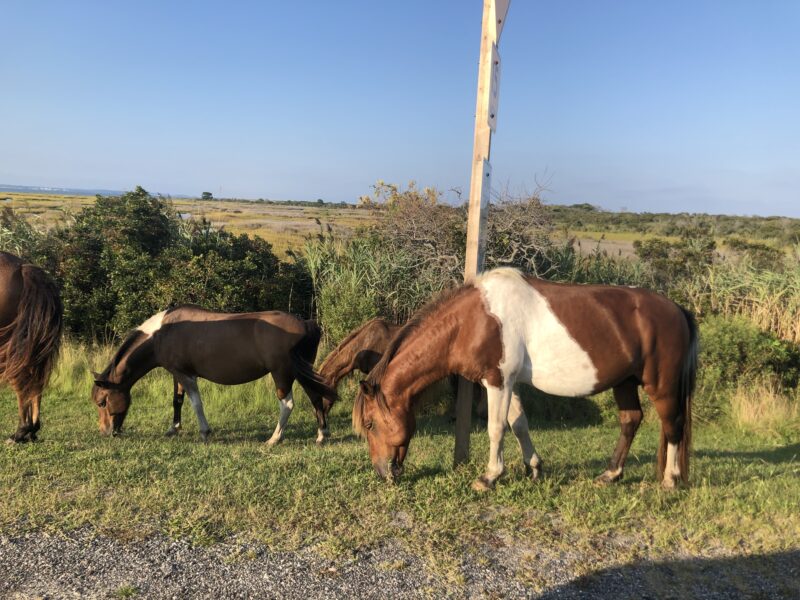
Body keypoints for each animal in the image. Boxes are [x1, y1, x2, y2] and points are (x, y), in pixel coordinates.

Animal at [91, 305, 338, 444]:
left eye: (103, 402)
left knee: (287, 404)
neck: (161, 333)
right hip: (302, 371)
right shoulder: (177, 373)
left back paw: (274, 439)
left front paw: (204, 432)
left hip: (282, 374)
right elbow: (177, 401)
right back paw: (322, 434)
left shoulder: (185, 375)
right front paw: (173, 428)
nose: (105, 432)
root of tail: (305, 324)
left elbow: (196, 403)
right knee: (316, 397)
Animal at [354, 267, 697, 491]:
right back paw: (610, 474)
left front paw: (489, 476)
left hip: (662, 386)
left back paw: (670, 480)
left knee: (673, 426)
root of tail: (677, 309)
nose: (383, 473)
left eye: (370, 424)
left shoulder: (497, 381)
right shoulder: (511, 383)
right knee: (630, 420)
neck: (472, 320)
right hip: (624, 383)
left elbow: (496, 427)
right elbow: (519, 423)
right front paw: (533, 467)